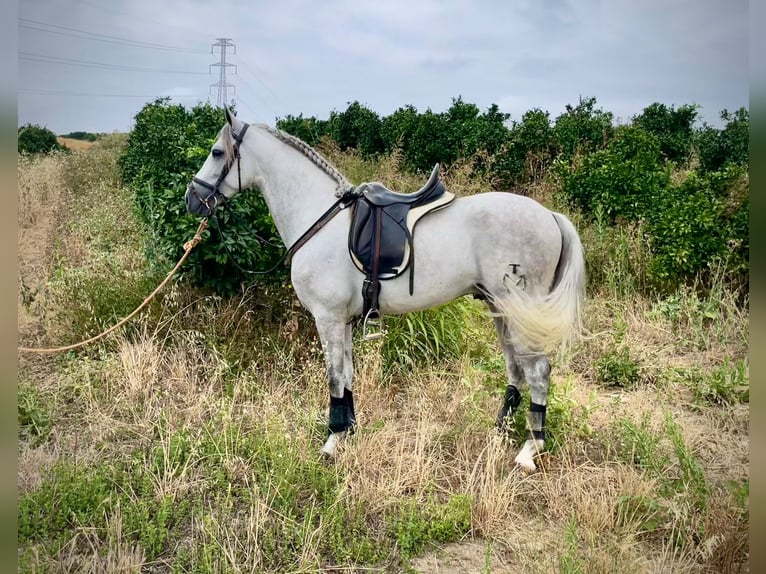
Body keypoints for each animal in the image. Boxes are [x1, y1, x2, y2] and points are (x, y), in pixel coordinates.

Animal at [188, 109, 588, 472]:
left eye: (217, 152)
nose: (194, 198)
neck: (320, 218)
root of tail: (550, 217)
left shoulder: (328, 318)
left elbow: (334, 377)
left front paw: (331, 442)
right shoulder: (344, 321)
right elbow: (347, 376)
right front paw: (348, 432)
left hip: (520, 311)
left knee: (538, 371)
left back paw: (529, 450)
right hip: (499, 309)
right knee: (515, 368)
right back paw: (499, 433)